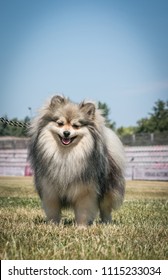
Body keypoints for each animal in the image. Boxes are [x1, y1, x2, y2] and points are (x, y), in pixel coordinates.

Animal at [28, 95, 124, 225]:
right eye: (60, 123)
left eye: (76, 126)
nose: (66, 133)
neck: (66, 155)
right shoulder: (50, 190)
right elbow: (53, 211)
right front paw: (53, 225)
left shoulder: (85, 191)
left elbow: (83, 211)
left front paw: (81, 226)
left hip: (108, 189)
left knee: (105, 208)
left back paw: (106, 222)